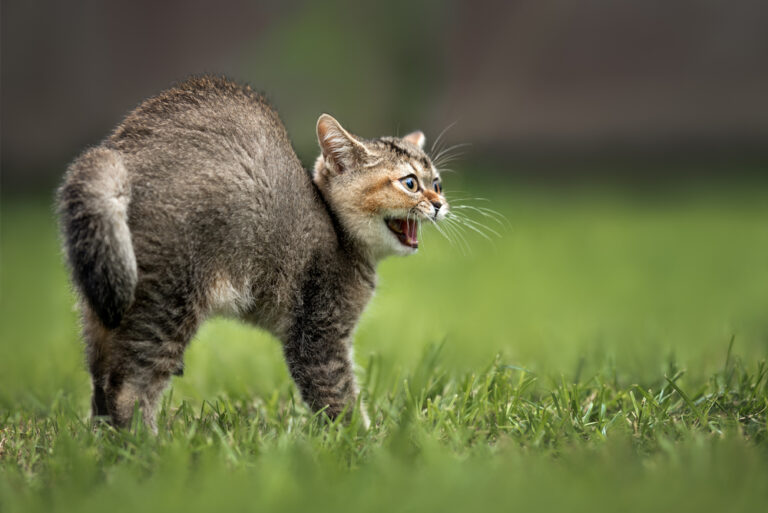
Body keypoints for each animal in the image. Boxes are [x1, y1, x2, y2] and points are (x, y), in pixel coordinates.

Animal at [57, 75, 448, 428]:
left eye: (437, 183)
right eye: (410, 183)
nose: (440, 203)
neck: (339, 233)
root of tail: (123, 155)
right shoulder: (318, 335)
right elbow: (339, 399)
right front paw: (363, 443)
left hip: (103, 298)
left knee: (100, 388)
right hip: (167, 302)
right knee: (128, 391)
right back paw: (149, 448)